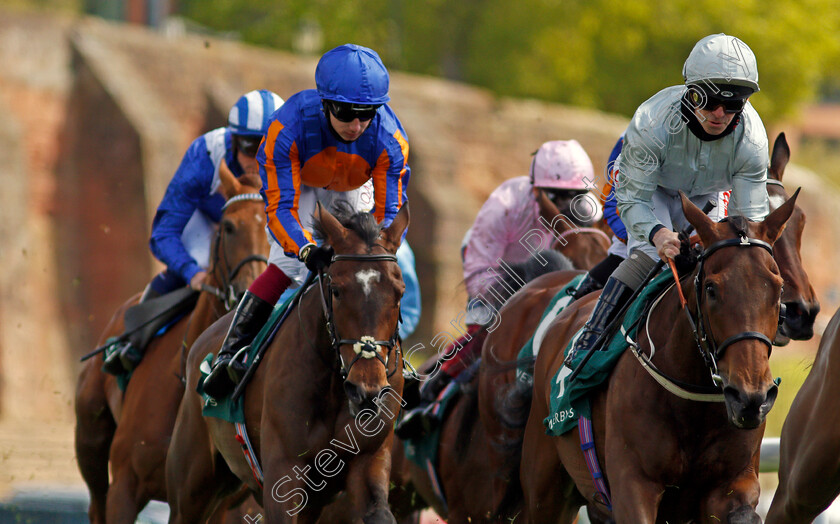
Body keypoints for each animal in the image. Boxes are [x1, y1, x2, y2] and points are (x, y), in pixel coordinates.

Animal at [75, 170, 268, 520]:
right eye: (229, 227)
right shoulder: (125, 487)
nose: (248, 291)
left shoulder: (221, 503)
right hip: (90, 440)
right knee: (96, 499)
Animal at [166, 203, 408, 520]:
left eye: (399, 292)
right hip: (191, 486)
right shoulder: (284, 474)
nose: (366, 390)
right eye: (337, 290)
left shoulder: (368, 461)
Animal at [520, 193, 796, 524]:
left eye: (778, 289)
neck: (691, 402)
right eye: (711, 289)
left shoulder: (732, 485)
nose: (750, 398)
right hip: (545, 486)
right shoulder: (633, 485)